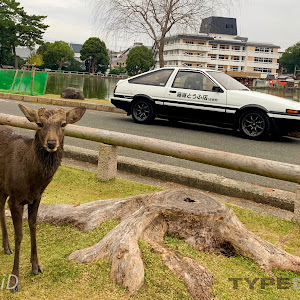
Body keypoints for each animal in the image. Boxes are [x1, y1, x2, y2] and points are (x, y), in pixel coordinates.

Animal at [0, 104, 86, 292]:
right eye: (39, 123)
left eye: (63, 124)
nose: (52, 143)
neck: (33, 181)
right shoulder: (15, 198)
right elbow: (19, 235)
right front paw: (14, 281)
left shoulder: (36, 198)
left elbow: (33, 227)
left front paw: (36, 267)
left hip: (2, 188)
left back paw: (6, 247)